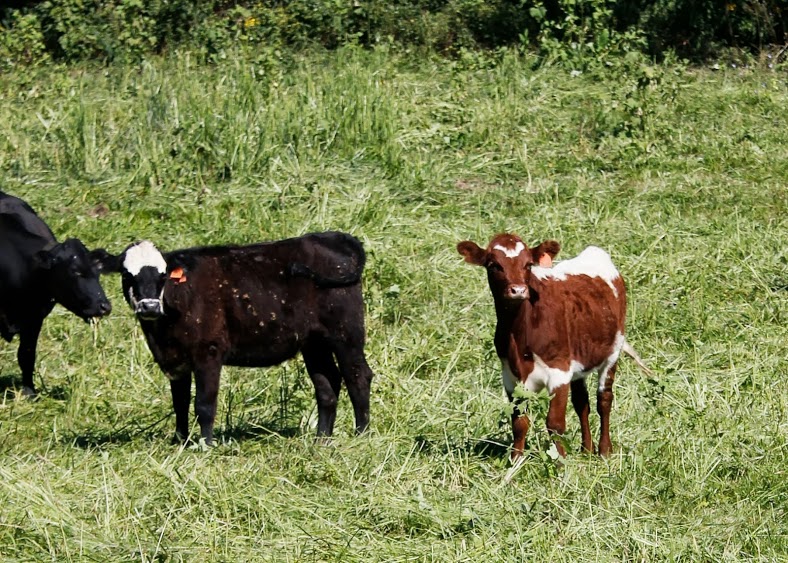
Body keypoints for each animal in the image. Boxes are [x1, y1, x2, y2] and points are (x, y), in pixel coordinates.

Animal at [0, 192, 112, 394]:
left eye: (98, 272)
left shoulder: (34, 319)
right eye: (75, 272)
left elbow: (26, 355)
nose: (104, 306)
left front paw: (29, 392)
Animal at [97, 231, 376, 448]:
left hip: (346, 334)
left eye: (163, 276)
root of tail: (330, 236)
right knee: (327, 384)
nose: (150, 306)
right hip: (314, 343)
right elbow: (180, 402)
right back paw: (322, 439)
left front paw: (206, 445)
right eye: (127, 275)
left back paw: (361, 434)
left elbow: (204, 403)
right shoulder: (175, 360)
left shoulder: (208, 352)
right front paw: (180, 441)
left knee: (358, 376)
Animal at [456, 234, 648, 458]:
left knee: (604, 400)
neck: (519, 335)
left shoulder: (559, 371)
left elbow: (555, 423)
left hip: (613, 352)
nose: (518, 290)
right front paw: (515, 460)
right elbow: (519, 422)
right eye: (494, 265)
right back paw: (586, 449)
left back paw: (604, 451)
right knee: (582, 403)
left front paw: (560, 461)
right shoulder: (510, 376)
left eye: (528, 264)